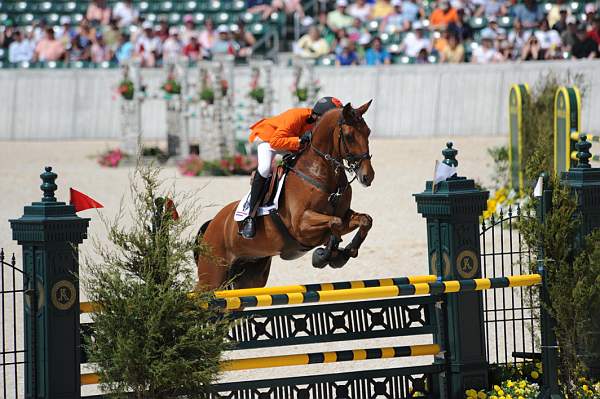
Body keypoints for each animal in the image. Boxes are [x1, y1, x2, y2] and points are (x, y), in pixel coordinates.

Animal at [195, 101, 376, 290]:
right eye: (349, 136)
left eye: (368, 132)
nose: (367, 176)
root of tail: (212, 224)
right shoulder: (300, 225)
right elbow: (335, 223)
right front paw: (324, 255)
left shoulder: (344, 214)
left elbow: (364, 220)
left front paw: (346, 252)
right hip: (212, 276)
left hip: (250, 276)